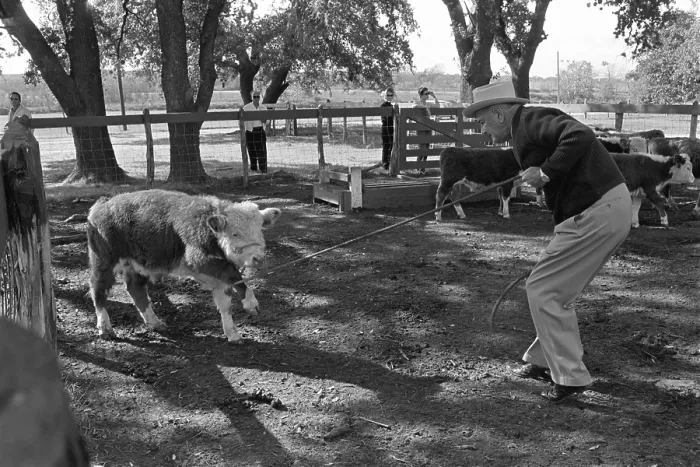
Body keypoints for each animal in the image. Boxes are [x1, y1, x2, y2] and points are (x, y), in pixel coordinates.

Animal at [87, 189, 282, 344]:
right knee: (98, 290)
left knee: (135, 290)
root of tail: (102, 205)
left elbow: (225, 304)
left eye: (260, 229)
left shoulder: (219, 279)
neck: (207, 229)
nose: (258, 258)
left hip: (136, 266)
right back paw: (105, 329)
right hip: (103, 262)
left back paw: (155, 323)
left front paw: (232, 335)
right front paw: (251, 303)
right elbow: (235, 275)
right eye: (235, 233)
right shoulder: (198, 260)